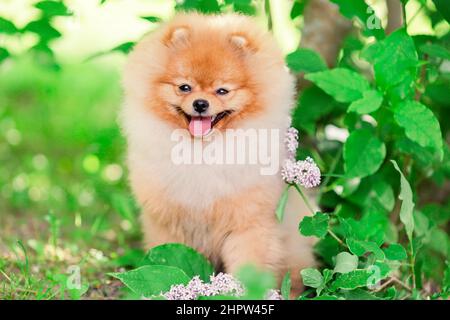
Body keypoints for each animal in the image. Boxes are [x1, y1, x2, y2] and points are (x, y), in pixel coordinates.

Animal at [121, 11, 314, 292]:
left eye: (222, 90)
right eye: (184, 87)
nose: (200, 103)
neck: (202, 151)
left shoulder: (248, 223)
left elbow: (250, 265)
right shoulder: (168, 221)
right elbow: (170, 255)